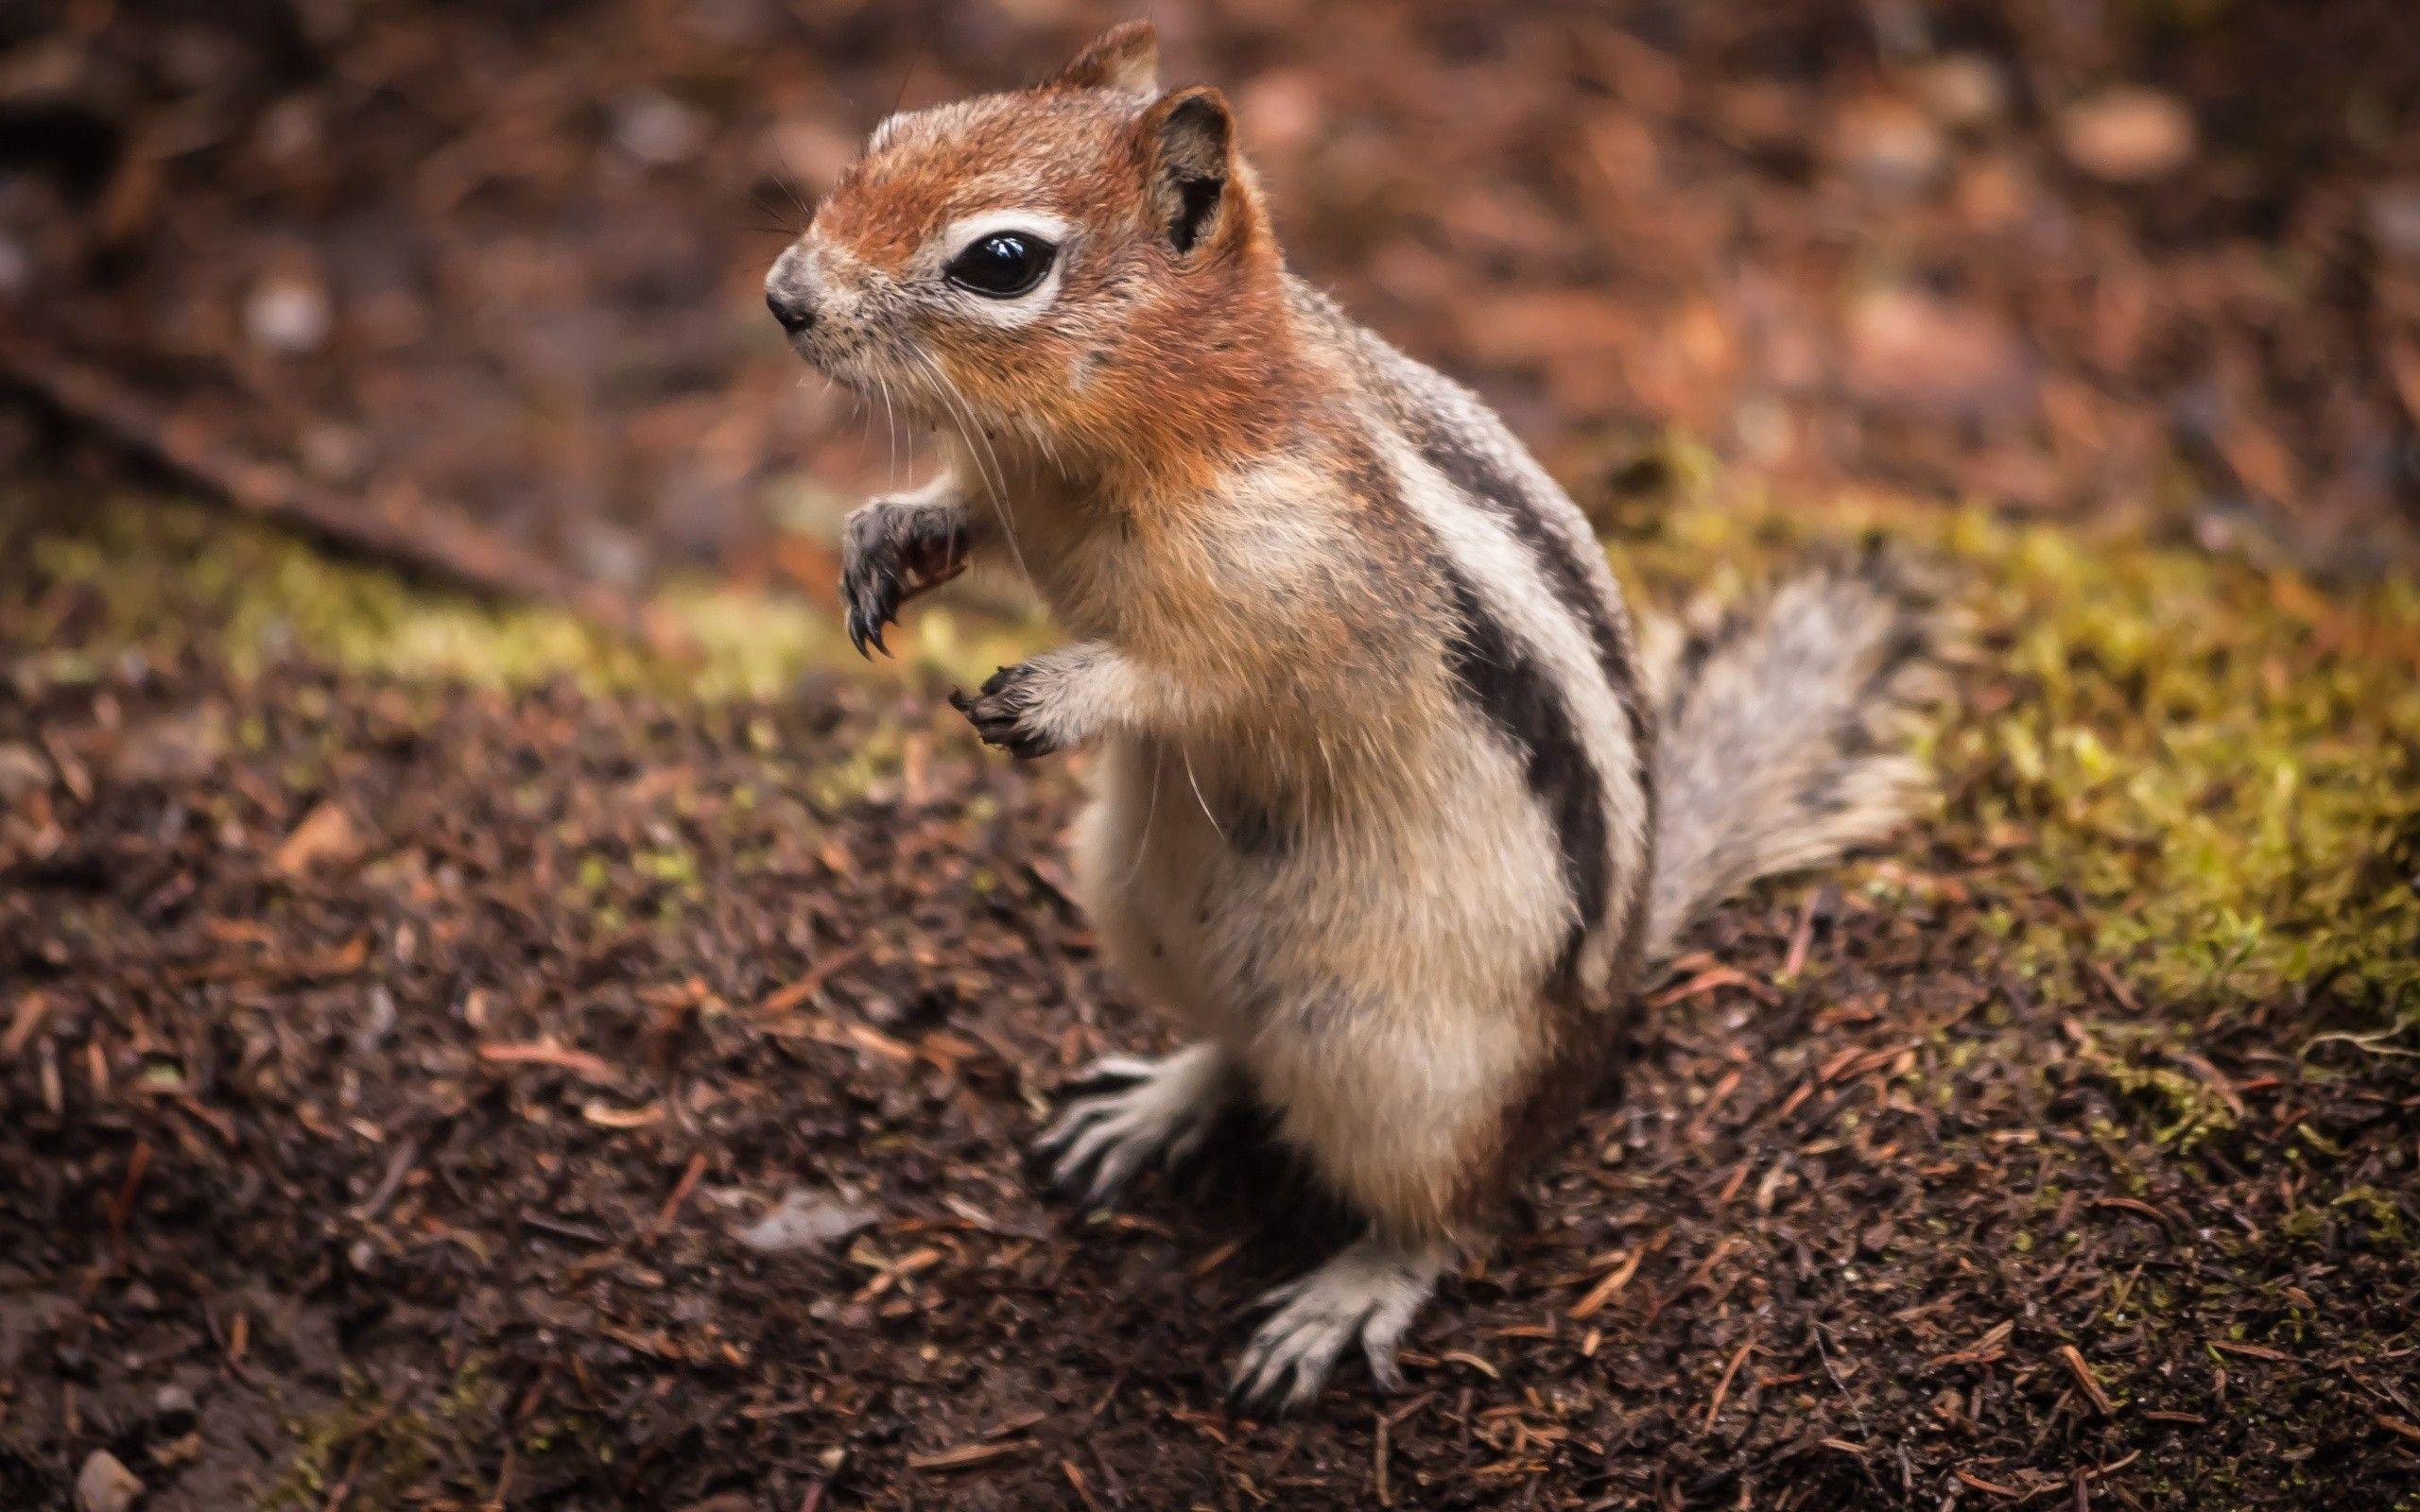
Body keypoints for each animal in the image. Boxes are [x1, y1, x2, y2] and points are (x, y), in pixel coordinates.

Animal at [766, 21, 1947, 1412]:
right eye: (891, 132)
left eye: (1001, 262)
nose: (784, 296)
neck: (1118, 433)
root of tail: (1605, 1009)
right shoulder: (1019, 486)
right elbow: (965, 511)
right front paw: (887, 532)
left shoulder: (1309, 580)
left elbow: (1203, 671)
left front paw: (1063, 691)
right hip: (1140, 910)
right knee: (1240, 1052)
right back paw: (1156, 1102)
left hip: (1409, 1068)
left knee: (1453, 1201)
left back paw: (1354, 1288)